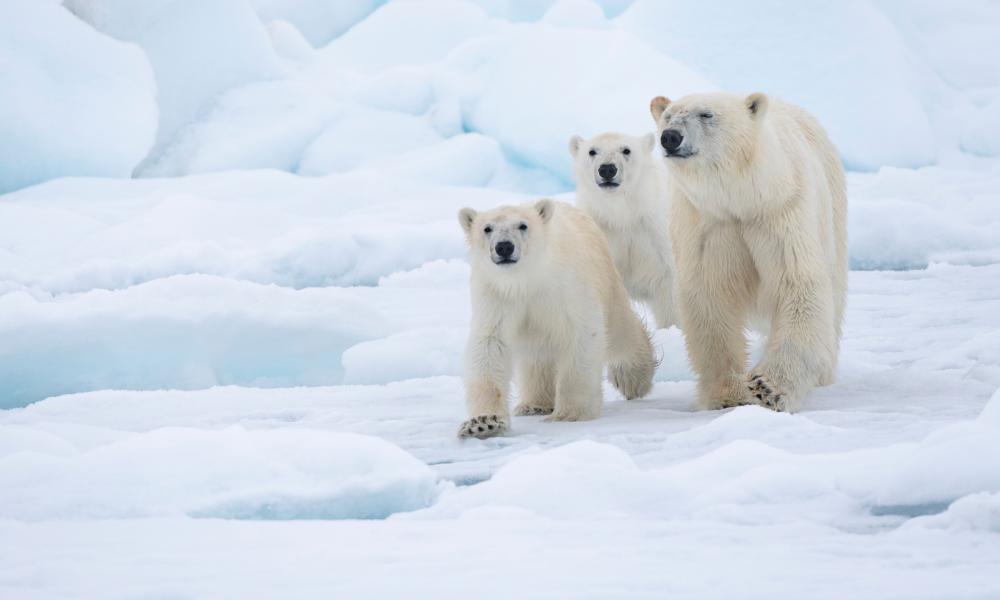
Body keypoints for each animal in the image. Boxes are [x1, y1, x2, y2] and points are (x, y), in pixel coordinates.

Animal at [458, 199, 660, 438]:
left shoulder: (566, 287)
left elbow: (581, 334)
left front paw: (570, 413)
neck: (526, 280)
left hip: (606, 277)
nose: (504, 246)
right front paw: (483, 423)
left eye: (523, 225)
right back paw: (534, 404)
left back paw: (633, 379)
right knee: (537, 355)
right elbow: (490, 345)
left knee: (619, 331)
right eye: (487, 228)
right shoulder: (496, 295)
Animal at [572, 132, 680, 328]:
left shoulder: (655, 234)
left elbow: (670, 287)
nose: (607, 169)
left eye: (626, 150)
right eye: (592, 151)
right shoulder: (601, 231)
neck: (622, 215)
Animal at [648, 91, 844, 412]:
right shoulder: (708, 225)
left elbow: (798, 286)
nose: (670, 137)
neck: (743, 198)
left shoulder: (781, 213)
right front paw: (729, 393)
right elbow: (710, 297)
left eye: (706, 114)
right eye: (668, 116)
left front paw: (768, 387)